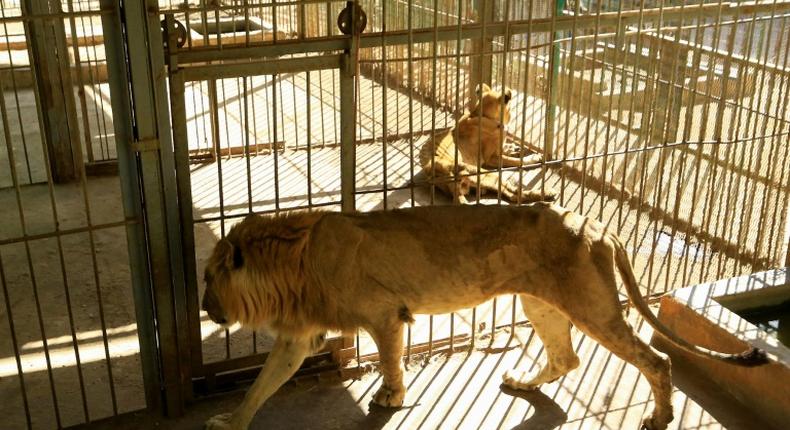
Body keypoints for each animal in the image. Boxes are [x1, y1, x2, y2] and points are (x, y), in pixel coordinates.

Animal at [204, 204, 768, 430]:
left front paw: (390, 399)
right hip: (541, 303)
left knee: (655, 360)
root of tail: (598, 225)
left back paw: (660, 417)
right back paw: (521, 383)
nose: (207, 309)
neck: (294, 259)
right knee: (566, 358)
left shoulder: (386, 315)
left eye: (209, 278)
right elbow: (262, 385)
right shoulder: (297, 338)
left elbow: (389, 362)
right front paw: (230, 422)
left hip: (593, 308)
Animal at [420, 85, 556, 205]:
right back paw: (547, 193)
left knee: (508, 193)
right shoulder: (490, 158)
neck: (481, 114)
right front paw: (533, 158)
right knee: (514, 195)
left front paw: (512, 148)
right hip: (482, 173)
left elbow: (505, 150)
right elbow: (516, 161)